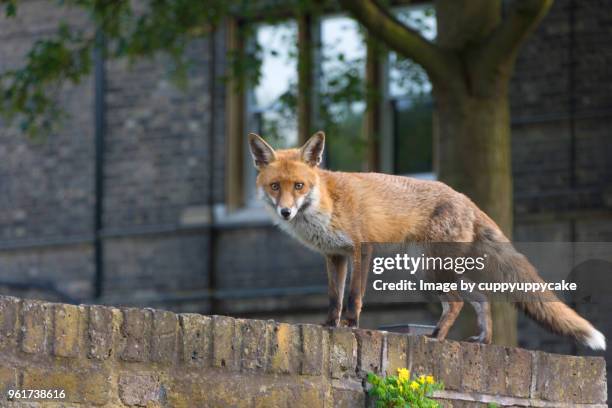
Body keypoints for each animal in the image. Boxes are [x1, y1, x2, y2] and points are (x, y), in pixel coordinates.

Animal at [249, 131, 608, 350]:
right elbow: (333, 299)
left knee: (458, 302)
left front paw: (351, 328)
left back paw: (436, 338)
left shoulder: (362, 248)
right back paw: (483, 340)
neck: (325, 203)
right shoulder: (335, 255)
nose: (285, 212)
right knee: (482, 298)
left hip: (428, 270)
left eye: (299, 186)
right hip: (439, 270)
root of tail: (467, 199)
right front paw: (327, 327)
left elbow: (353, 297)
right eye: (275, 186)